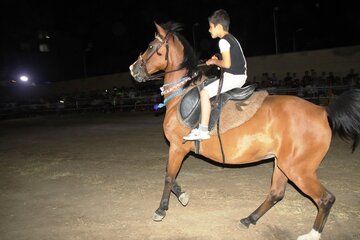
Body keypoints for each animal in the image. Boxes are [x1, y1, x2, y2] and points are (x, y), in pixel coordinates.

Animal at [129, 21, 360, 239]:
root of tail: (322, 110)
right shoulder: (179, 149)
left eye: (151, 46)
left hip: (298, 169)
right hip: (283, 164)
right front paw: (183, 196)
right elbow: (171, 177)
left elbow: (168, 177)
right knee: (276, 193)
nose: (133, 69)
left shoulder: (177, 147)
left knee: (325, 199)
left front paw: (161, 209)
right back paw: (249, 219)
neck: (181, 94)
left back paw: (311, 234)